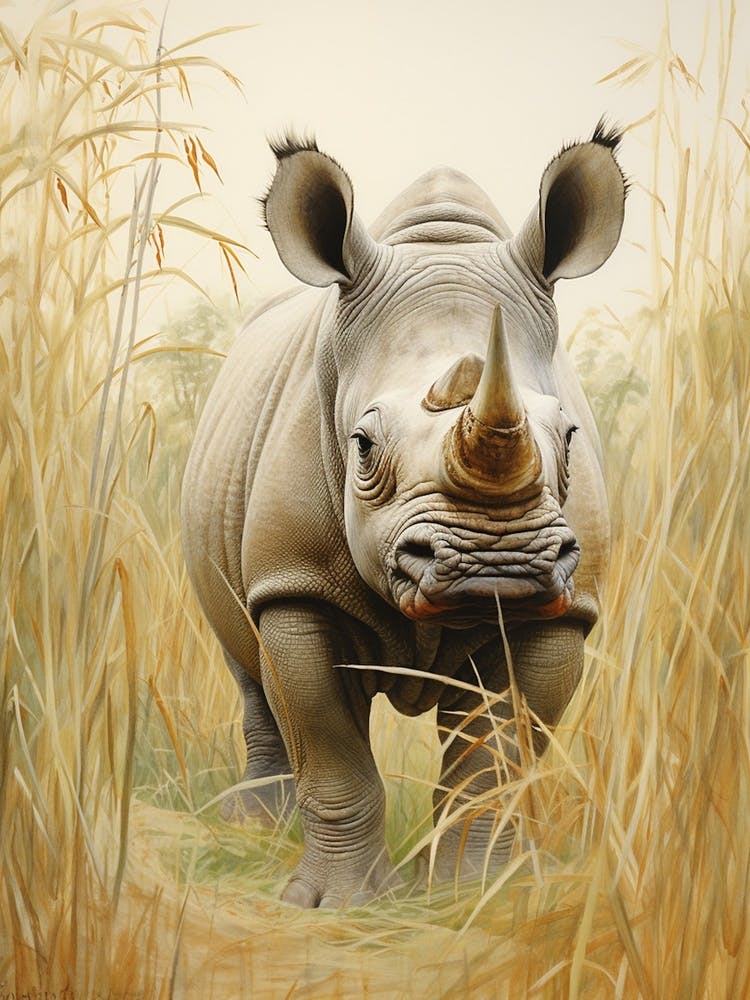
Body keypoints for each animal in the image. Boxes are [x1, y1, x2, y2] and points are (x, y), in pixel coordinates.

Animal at [181, 122, 625, 908]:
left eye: (570, 436)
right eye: (361, 445)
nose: (495, 565)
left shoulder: (565, 607)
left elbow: (495, 757)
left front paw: (471, 896)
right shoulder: (293, 582)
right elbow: (328, 742)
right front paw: (337, 903)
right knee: (245, 660)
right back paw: (257, 830)